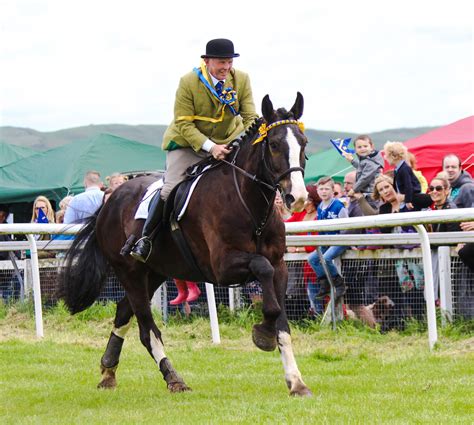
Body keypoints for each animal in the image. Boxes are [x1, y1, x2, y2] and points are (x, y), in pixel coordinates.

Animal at [58, 91, 312, 396]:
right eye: (274, 145)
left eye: (304, 143)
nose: (298, 198)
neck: (252, 207)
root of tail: (109, 200)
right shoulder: (223, 267)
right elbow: (263, 272)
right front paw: (263, 334)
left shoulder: (280, 266)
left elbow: (283, 323)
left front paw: (296, 381)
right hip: (129, 272)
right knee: (147, 329)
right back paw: (173, 377)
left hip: (155, 272)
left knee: (123, 312)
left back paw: (108, 370)